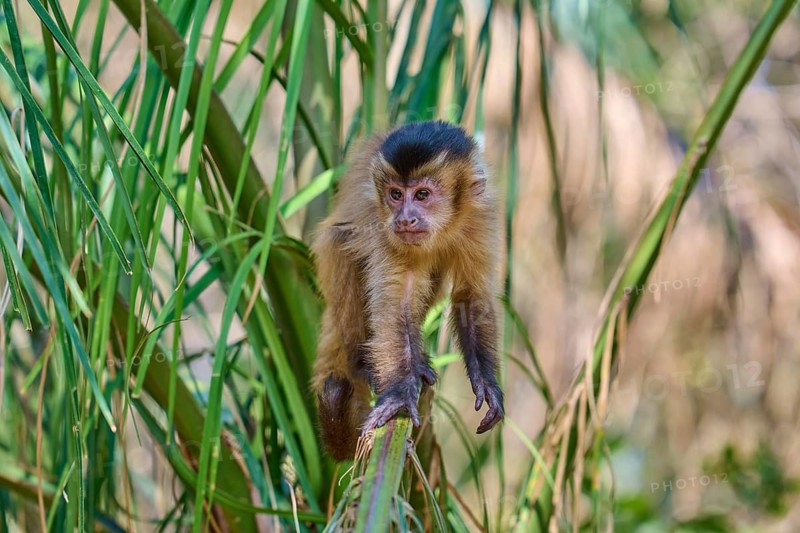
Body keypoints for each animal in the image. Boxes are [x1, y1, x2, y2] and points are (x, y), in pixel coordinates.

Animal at [311, 120, 504, 461]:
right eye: (395, 194)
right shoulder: (383, 227)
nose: (404, 218)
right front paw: (399, 394)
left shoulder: (480, 213)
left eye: (422, 194)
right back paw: (365, 363)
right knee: (341, 241)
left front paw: (486, 381)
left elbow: (471, 296)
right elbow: (394, 306)